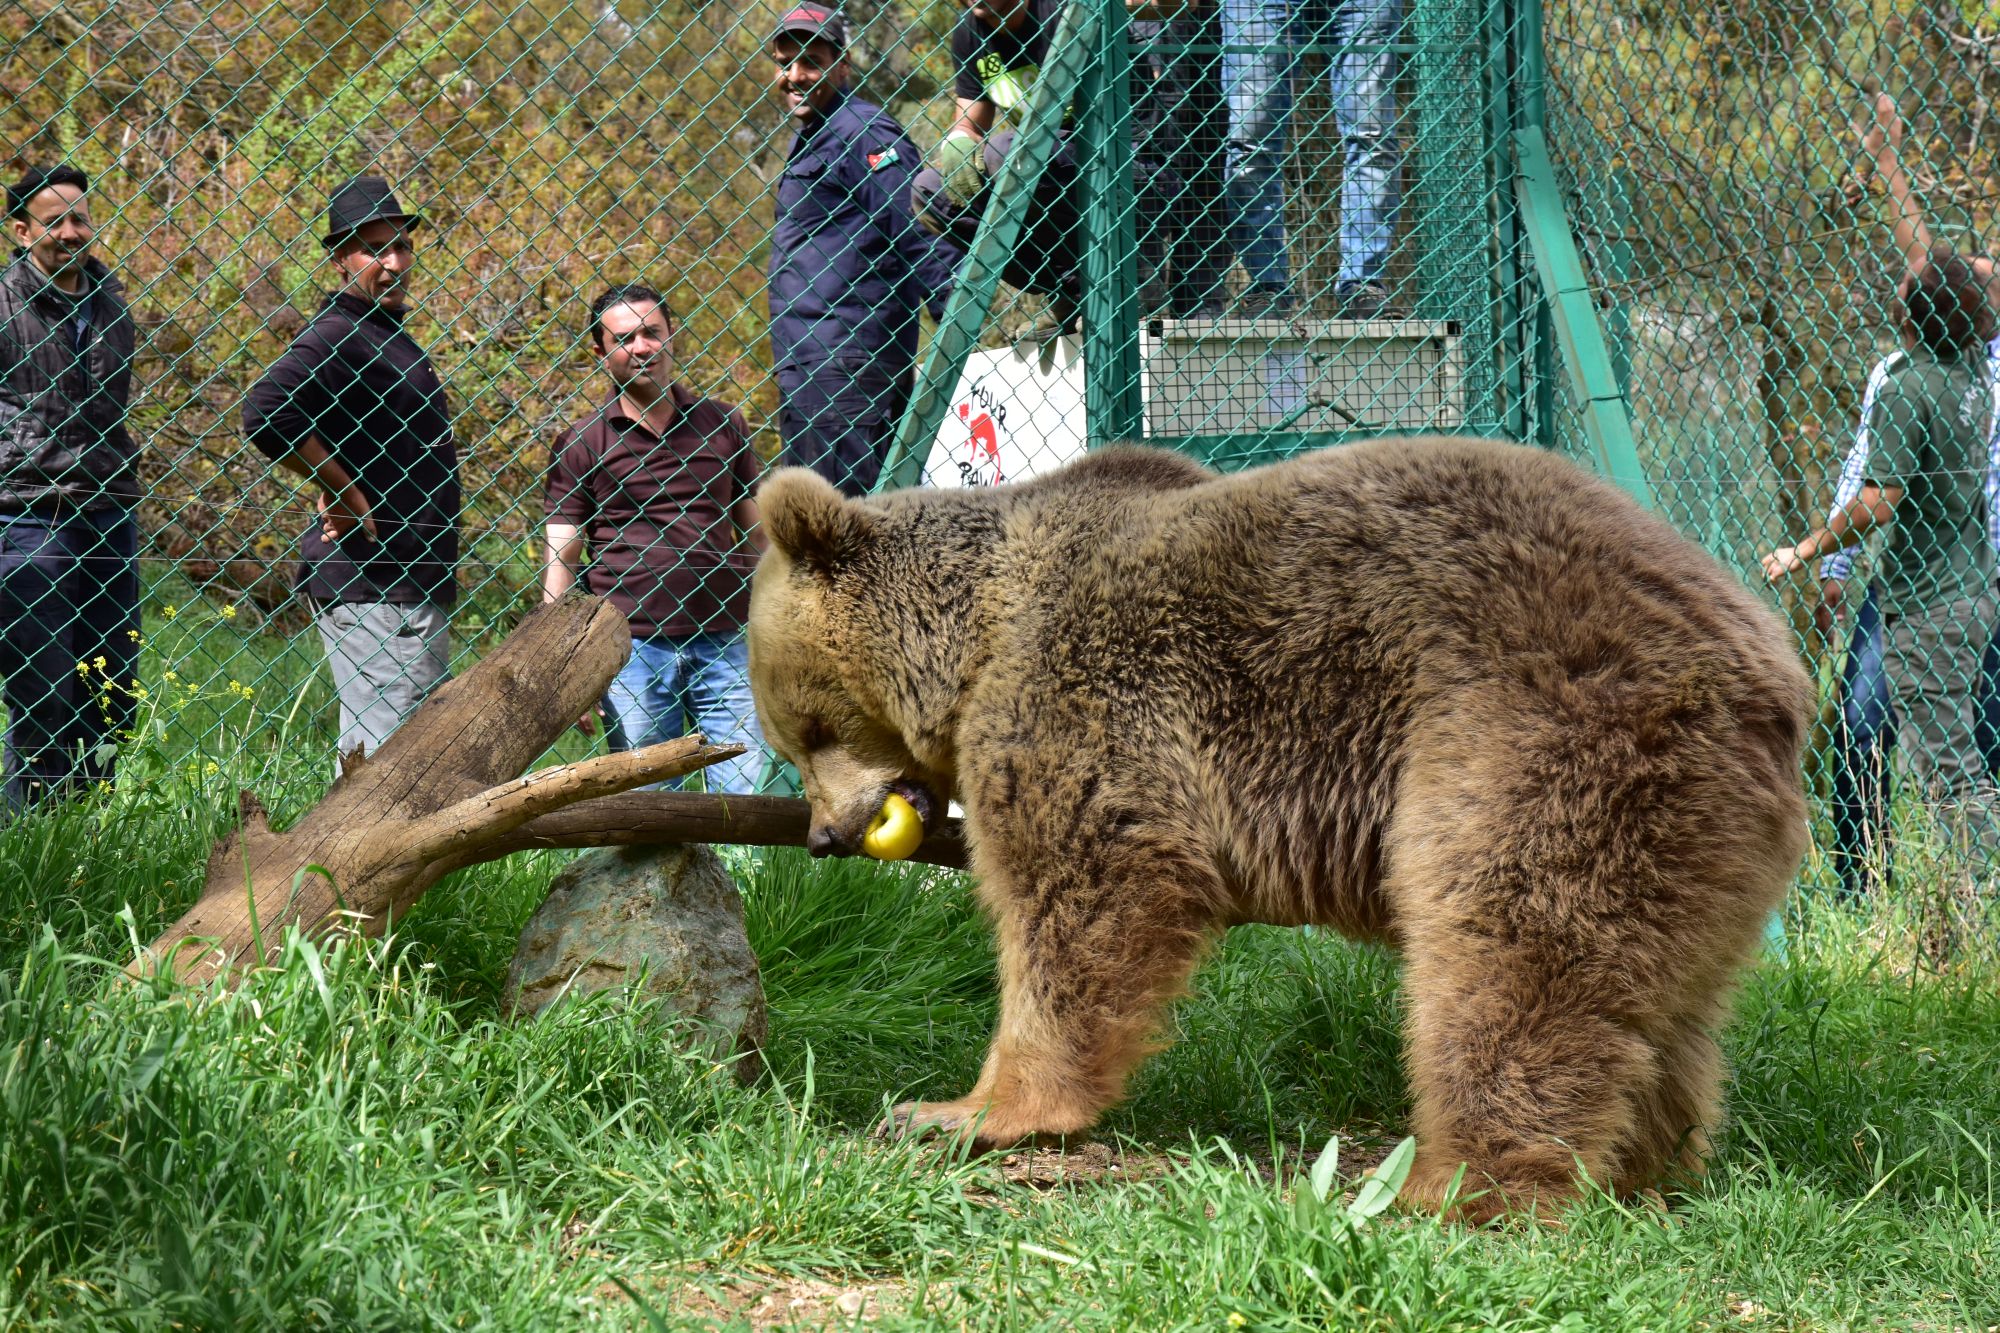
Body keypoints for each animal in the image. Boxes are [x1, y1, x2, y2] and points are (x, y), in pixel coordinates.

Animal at [752, 434, 1816, 1216]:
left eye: (806, 726)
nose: (823, 835)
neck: (973, 638)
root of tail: (1773, 671)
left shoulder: (1086, 698)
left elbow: (1088, 895)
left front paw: (964, 1108)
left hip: (1536, 735)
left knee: (1509, 957)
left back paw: (1450, 1187)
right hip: (1695, 832)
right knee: (1661, 1007)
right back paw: (1649, 1168)